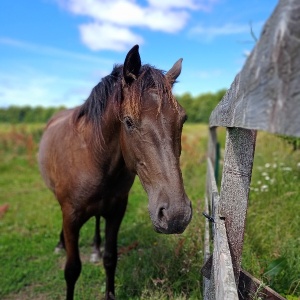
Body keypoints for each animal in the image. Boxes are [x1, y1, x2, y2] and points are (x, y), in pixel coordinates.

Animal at [38, 45, 192, 300]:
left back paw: (95, 248)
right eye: (128, 122)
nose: (176, 215)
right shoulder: (70, 216)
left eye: (182, 119)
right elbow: (72, 270)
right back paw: (61, 244)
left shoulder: (116, 211)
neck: (93, 157)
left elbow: (111, 259)